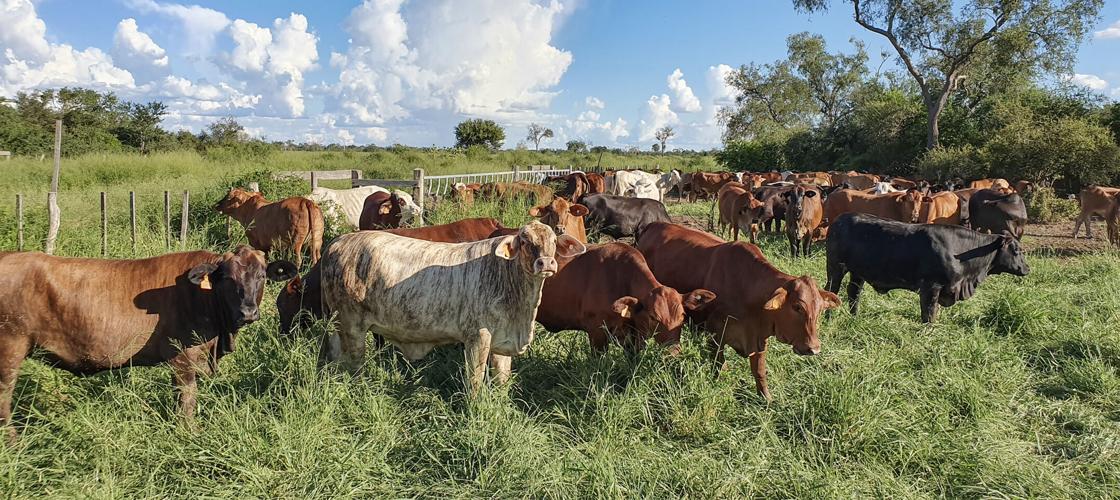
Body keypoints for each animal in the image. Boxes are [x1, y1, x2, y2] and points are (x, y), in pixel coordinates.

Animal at [0, 247, 296, 440]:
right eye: (227, 278)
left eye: (261, 276)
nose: (248, 313)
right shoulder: (183, 357)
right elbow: (186, 399)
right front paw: (189, 433)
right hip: (10, 348)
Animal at [320, 222, 586, 395]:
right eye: (524, 241)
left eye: (553, 242)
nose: (546, 263)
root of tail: (337, 242)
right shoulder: (478, 336)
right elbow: (475, 381)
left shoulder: (503, 340)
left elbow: (502, 380)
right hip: (352, 323)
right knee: (355, 364)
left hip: (340, 324)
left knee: (333, 351)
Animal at [636, 222, 840, 400]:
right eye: (797, 306)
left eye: (820, 309)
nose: (814, 348)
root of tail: (654, 225)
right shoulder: (715, 334)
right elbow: (718, 363)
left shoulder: (759, 338)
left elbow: (759, 371)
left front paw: (766, 398)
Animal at [825, 213, 1029, 323]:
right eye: (1016, 250)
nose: (1027, 269)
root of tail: (840, 219)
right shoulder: (931, 286)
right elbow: (928, 313)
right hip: (835, 268)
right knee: (831, 290)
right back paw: (828, 317)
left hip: (857, 272)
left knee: (854, 292)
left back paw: (854, 316)